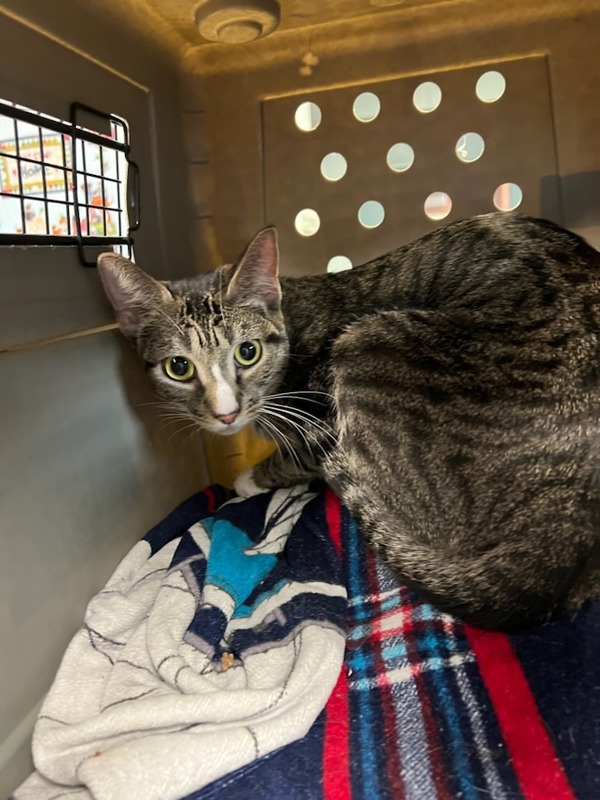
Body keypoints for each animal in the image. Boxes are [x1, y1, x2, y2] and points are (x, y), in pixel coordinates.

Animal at [97, 214, 600, 632]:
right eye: (179, 367)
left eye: (248, 352)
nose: (226, 413)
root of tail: (564, 529)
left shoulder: (319, 421)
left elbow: (294, 458)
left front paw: (247, 480)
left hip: (366, 344)